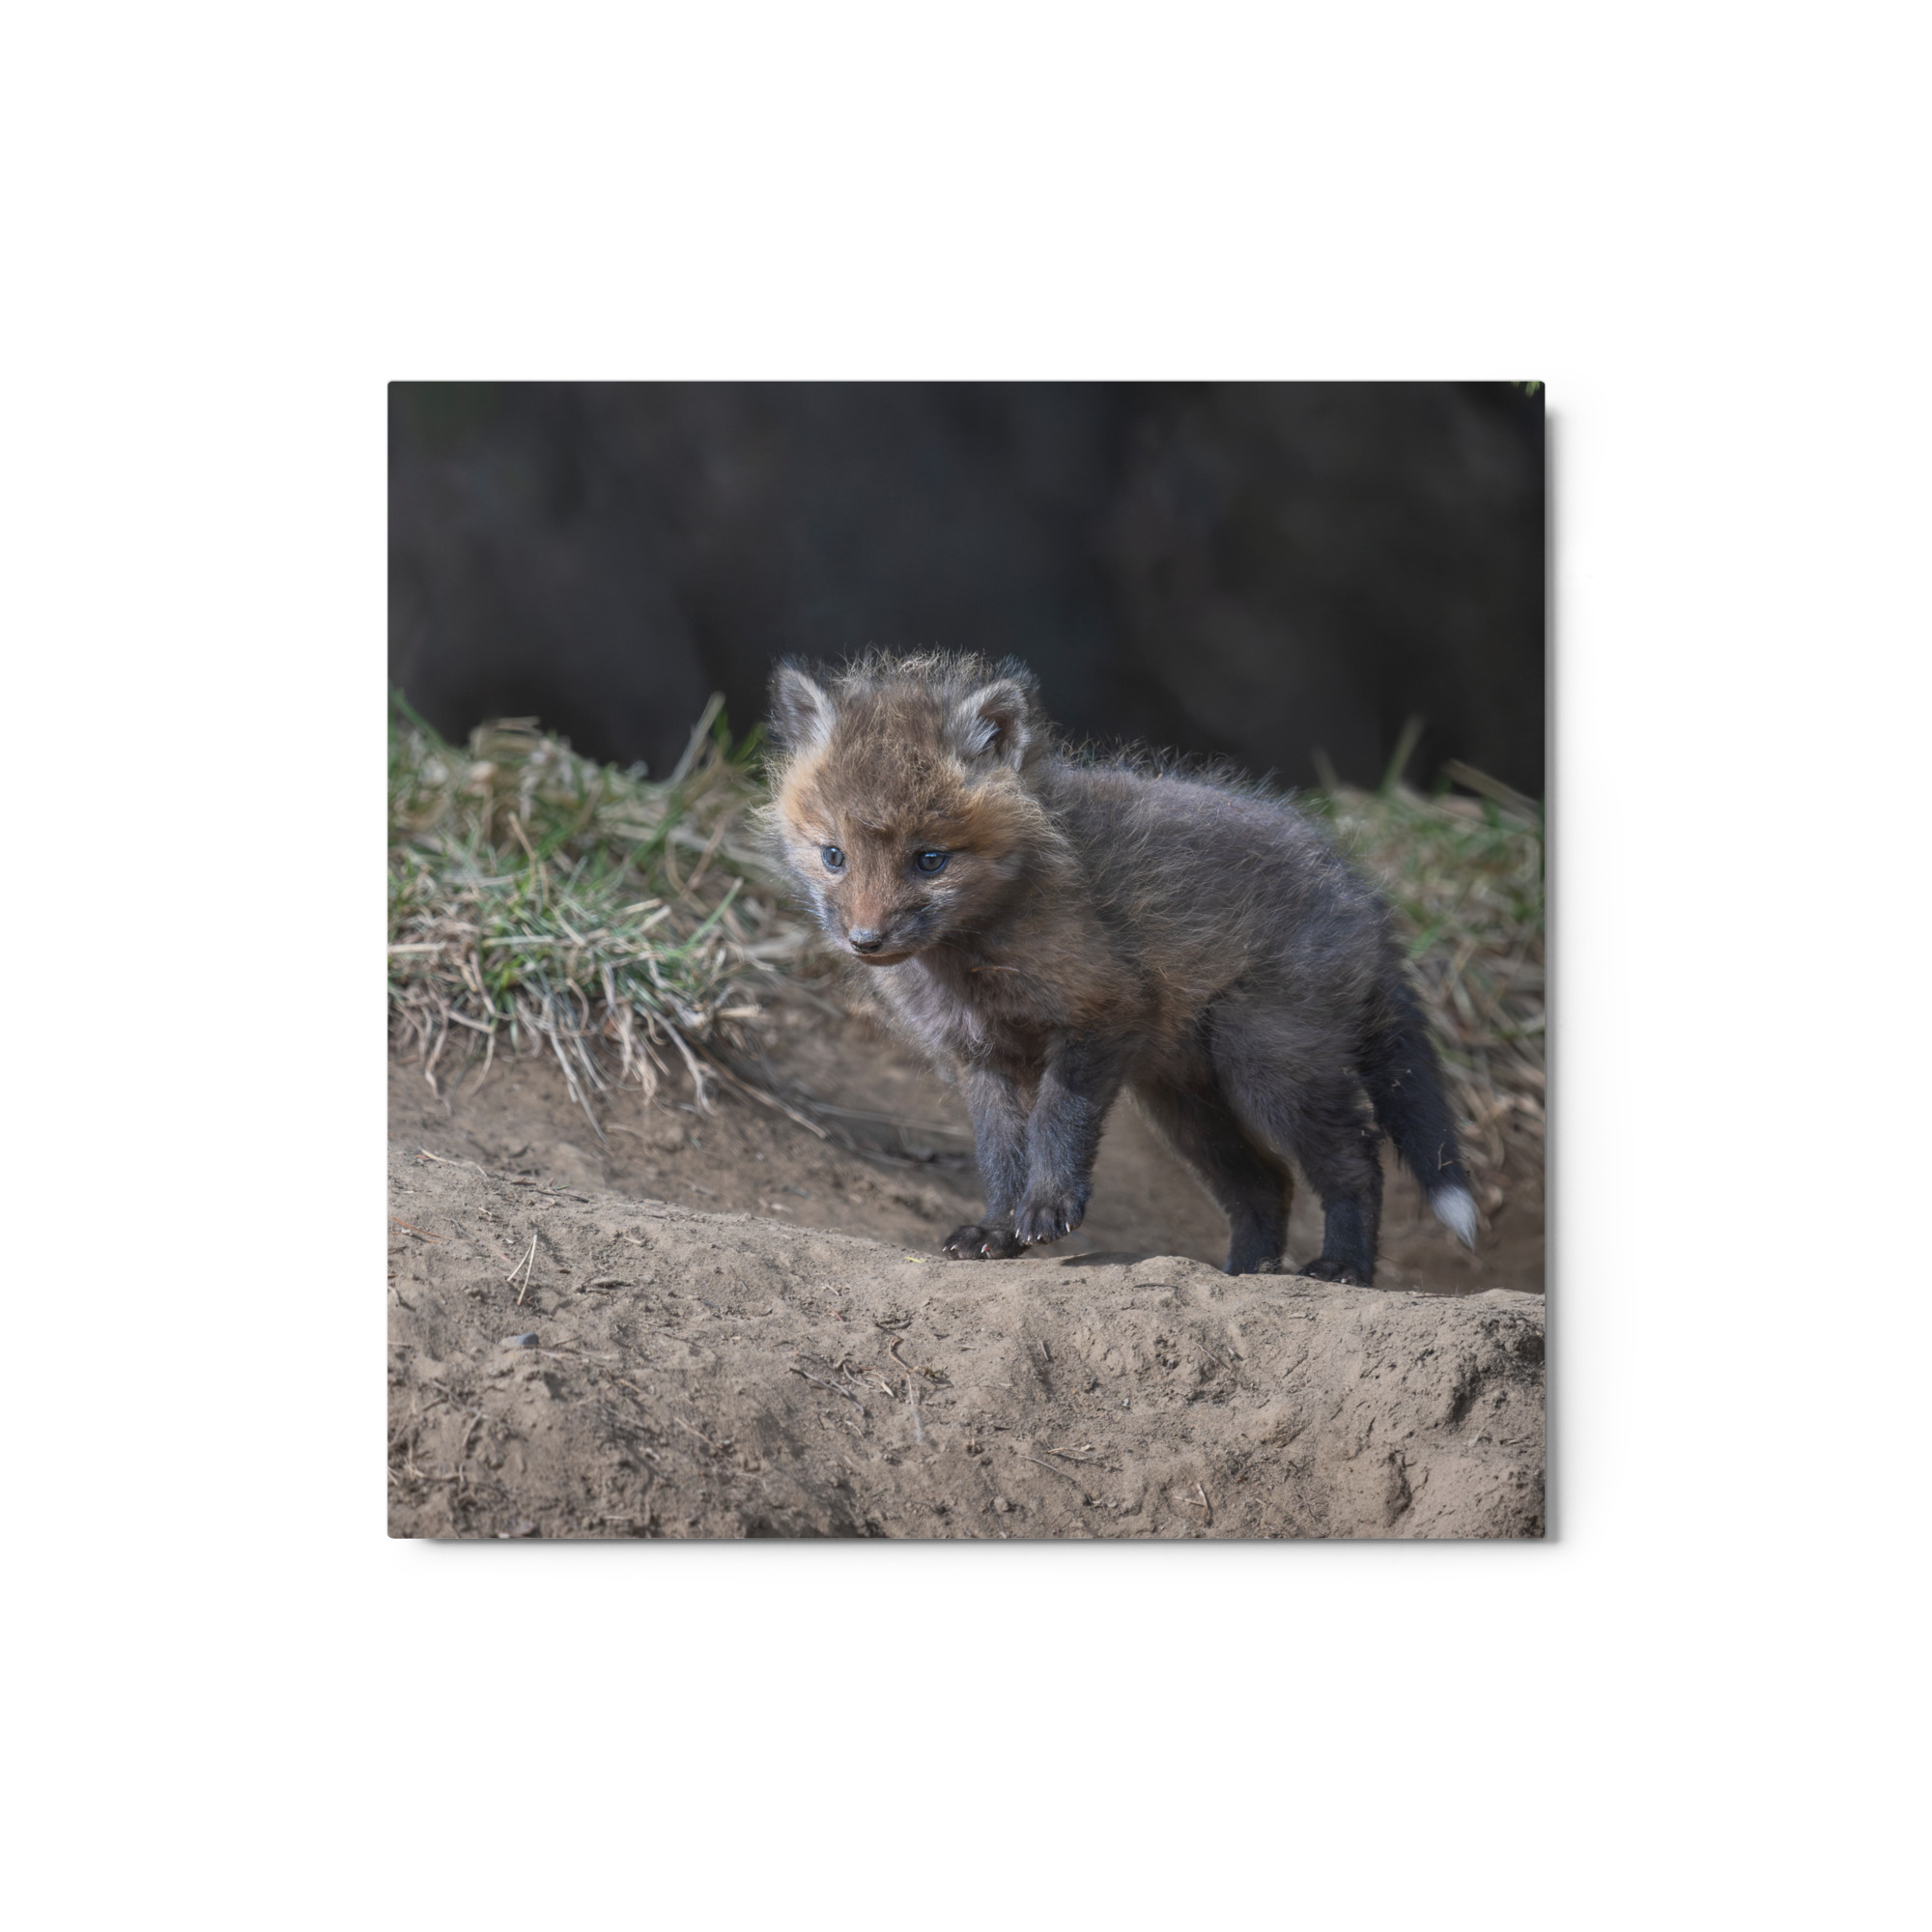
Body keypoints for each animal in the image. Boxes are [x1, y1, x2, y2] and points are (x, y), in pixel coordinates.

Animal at [762, 651, 1478, 1283]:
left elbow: (1057, 1121)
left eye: (929, 860)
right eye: (833, 856)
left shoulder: (1103, 1011)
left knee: (1356, 1160)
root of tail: (1363, 894)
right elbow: (1000, 1154)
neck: (972, 962)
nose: (866, 940)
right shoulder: (982, 1056)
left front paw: (1048, 1208)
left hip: (1268, 1066)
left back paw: (1343, 1267)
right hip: (1185, 1102)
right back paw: (1245, 1273)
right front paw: (997, 1230)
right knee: (1266, 1183)